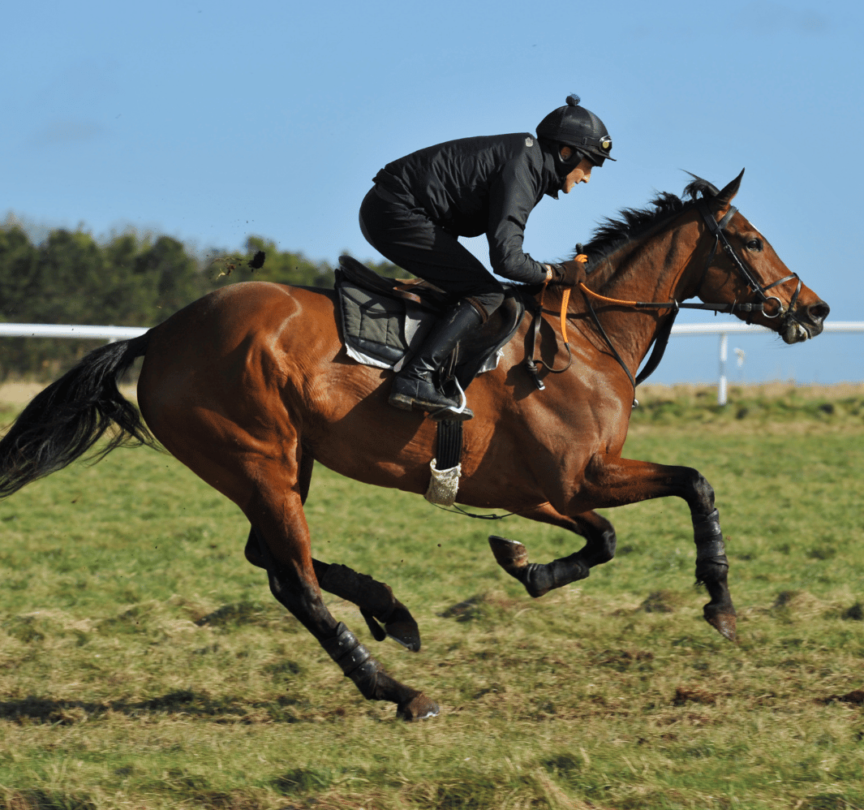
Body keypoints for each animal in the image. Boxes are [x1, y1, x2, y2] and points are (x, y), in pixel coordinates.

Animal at [0, 170, 830, 721]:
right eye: (750, 239)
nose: (815, 310)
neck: (588, 339)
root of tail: (160, 334)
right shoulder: (577, 477)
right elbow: (692, 483)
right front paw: (720, 603)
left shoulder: (540, 491)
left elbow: (603, 539)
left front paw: (523, 564)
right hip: (257, 460)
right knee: (295, 583)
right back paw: (397, 690)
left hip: (281, 464)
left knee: (270, 560)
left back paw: (390, 610)